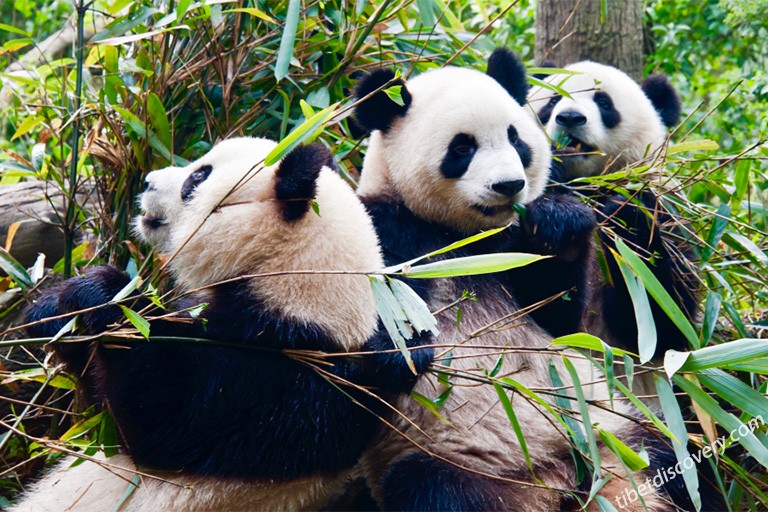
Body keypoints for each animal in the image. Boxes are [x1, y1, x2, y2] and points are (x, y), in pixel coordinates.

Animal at [11, 138, 432, 511]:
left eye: (198, 177)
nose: (147, 180)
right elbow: (98, 400)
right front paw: (51, 309)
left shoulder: (292, 386)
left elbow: (162, 418)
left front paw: (105, 294)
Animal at [527, 62, 698, 360]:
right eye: (552, 101)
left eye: (604, 102)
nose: (570, 117)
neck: (588, 185)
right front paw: (558, 219)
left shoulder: (667, 213)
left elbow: (666, 324)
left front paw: (623, 214)